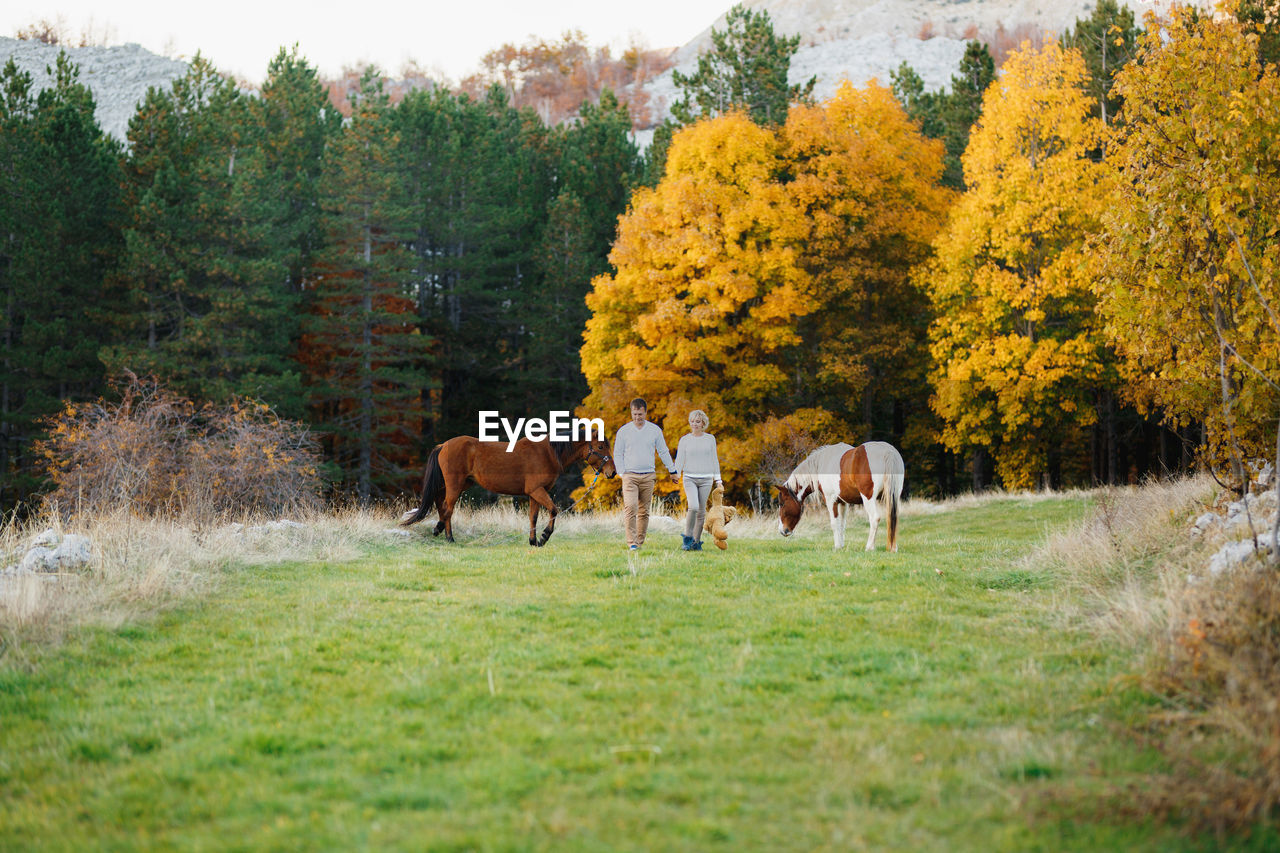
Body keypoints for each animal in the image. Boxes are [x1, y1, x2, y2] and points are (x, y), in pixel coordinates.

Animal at [401, 432, 616, 545]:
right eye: (601, 446)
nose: (612, 472)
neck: (547, 453)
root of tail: (444, 445)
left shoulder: (534, 493)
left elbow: (533, 517)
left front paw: (533, 541)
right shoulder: (538, 491)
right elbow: (554, 510)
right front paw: (544, 536)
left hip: (457, 484)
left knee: (439, 502)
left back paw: (439, 529)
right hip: (455, 485)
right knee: (447, 508)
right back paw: (449, 537)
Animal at [773, 438, 906, 550]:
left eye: (782, 503)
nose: (782, 531)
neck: (822, 464)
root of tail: (888, 452)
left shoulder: (831, 500)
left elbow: (834, 523)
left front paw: (837, 546)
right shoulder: (843, 502)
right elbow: (842, 524)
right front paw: (841, 545)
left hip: (868, 498)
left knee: (875, 518)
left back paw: (869, 547)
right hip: (893, 496)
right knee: (893, 517)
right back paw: (893, 548)